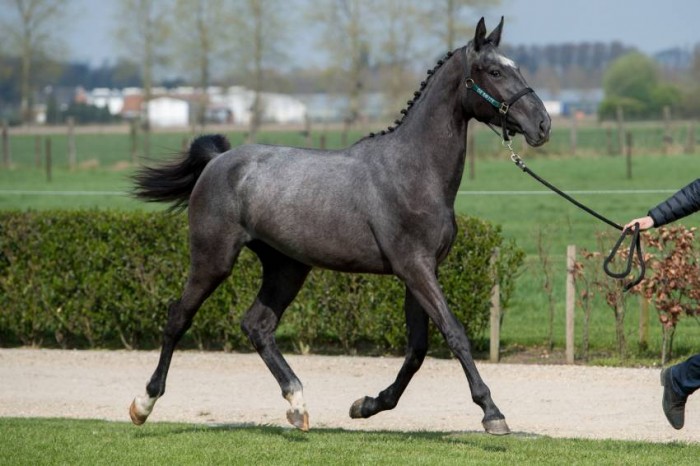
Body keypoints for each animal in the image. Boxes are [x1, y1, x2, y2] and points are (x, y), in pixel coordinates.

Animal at [129, 16, 550, 435]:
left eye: (516, 67)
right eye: (494, 71)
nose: (542, 124)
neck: (414, 172)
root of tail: (218, 161)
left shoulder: (421, 271)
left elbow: (417, 349)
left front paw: (366, 406)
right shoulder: (414, 268)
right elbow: (454, 333)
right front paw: (492, 412)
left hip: (287, 267)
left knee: (257, 325)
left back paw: (297, 405)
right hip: (213, 260)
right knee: (178, 318)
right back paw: (144, 404)